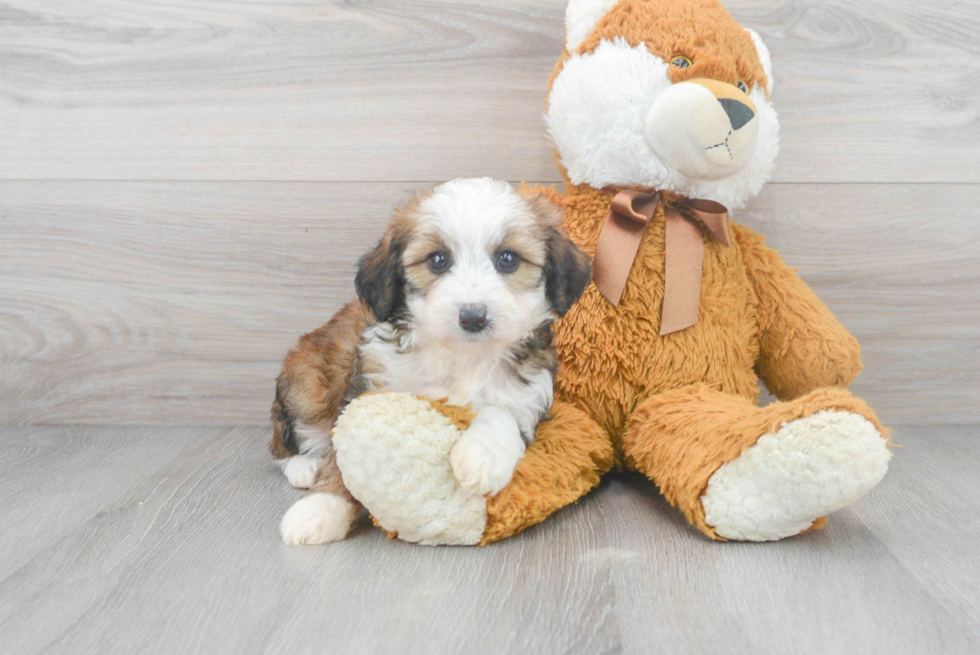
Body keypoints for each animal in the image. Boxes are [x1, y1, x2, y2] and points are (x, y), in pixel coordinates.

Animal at [270, 177, 588, 544]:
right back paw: (303, 466)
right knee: (284, 438)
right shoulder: (371, 387)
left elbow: (502, 415)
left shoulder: (527, 393)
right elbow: (341, 455)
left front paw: (481, 457)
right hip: (305, 383)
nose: (473, 317)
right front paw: (320, 507)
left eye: (508, 259)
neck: (461, 357)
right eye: (438, 260)